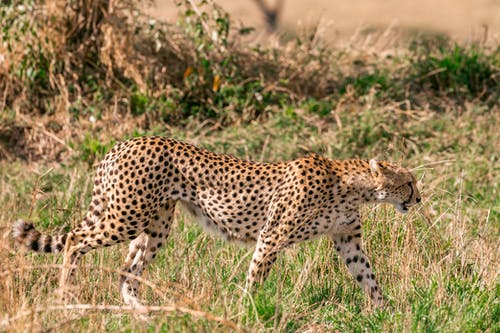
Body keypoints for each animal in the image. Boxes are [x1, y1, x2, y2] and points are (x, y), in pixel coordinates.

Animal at [11, 135, 420, 306]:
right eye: (409, 182)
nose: (418, 198)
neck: (352, 185)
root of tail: (125, 142)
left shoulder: (347, 240)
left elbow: (368, 277)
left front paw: (388, 311)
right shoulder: (272, 236)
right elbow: (256, 275)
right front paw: (244, 308)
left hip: (156, 225)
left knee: (128, 271)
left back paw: (141, 313)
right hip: (127, 215)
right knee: (75, 239)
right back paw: (66, 294)